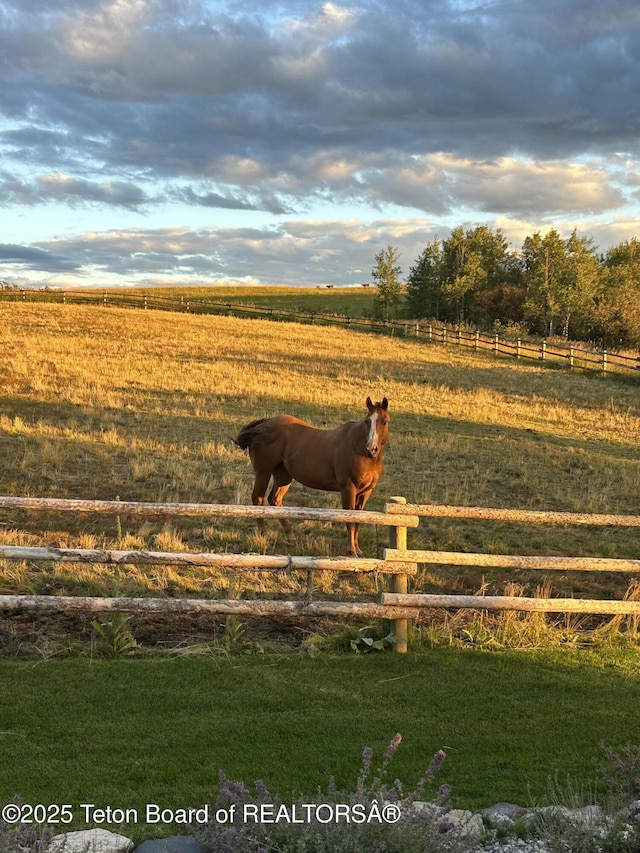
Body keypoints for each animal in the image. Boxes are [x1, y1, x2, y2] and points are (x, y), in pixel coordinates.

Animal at [232, 396, 388, 556]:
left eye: (384, 421)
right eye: (367, 421)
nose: (371, 449)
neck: (358, 449)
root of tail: (263, 425)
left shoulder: (365, 492)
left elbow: (358, 520)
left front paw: (358, 549)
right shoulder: (348, 489)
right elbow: (350, 520)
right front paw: (351, 551)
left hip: (283, 476)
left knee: (275, 500)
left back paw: (290, 536)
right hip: (263, 472)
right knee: (258, 499)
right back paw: (264, 534)